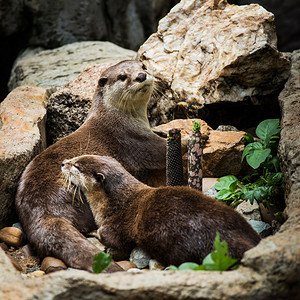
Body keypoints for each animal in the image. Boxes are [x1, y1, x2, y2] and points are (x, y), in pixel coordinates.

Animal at [15, 59, 166, 270]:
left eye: (143, 66)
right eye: (122, 76)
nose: (141, 76)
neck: (121, 118)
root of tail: (40, 212)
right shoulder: (139, 141)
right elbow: (165, 149)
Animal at [61, 155, 260, 268]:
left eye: (77, 166)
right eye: (78, 156)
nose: (63, 163)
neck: (116, 202)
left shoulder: (115, 223)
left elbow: (110, 236)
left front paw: (94, 233)